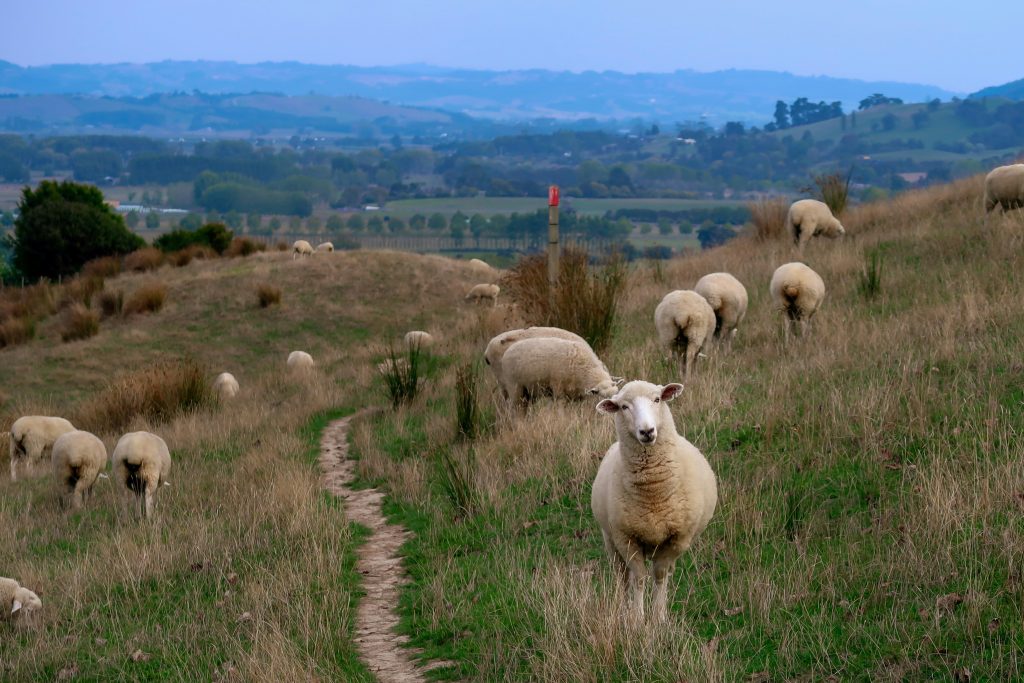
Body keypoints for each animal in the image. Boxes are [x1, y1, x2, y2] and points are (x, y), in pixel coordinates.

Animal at [593, 382, 720, 622]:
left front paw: (659, 617)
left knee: (664, 573)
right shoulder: (626, 538)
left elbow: (660, 575)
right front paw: (637, 618)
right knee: (622, 577)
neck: (653, 492)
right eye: (623, 406)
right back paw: (623, 608)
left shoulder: (678, 538)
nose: (647, 431)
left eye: (657, 399)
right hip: (610, 539)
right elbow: (639, 578)